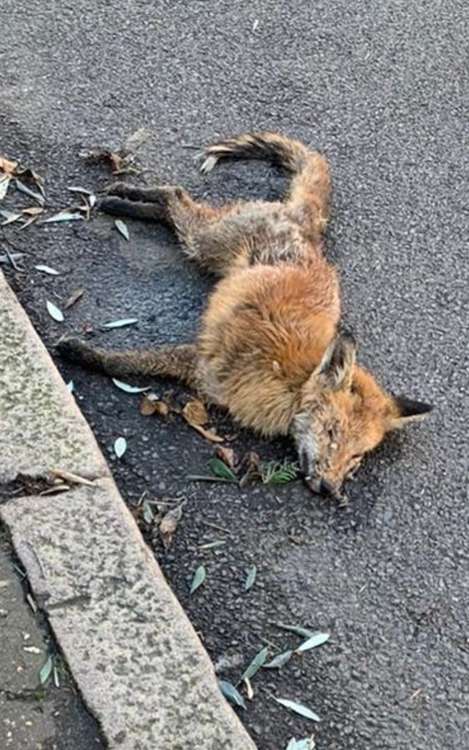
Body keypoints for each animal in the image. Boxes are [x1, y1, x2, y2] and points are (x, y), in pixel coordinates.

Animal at [58, 133, 432, 502]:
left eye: (356, 457)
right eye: (331, 432)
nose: (331, 490)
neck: (290, 381)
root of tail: (305, 222)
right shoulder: (204, 365)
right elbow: (123, 362)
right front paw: (81, 352)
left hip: (206, 247)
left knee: (174, 206)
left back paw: (124, 200)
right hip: (205, 242)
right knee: (174, 194)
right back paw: (121, 198)